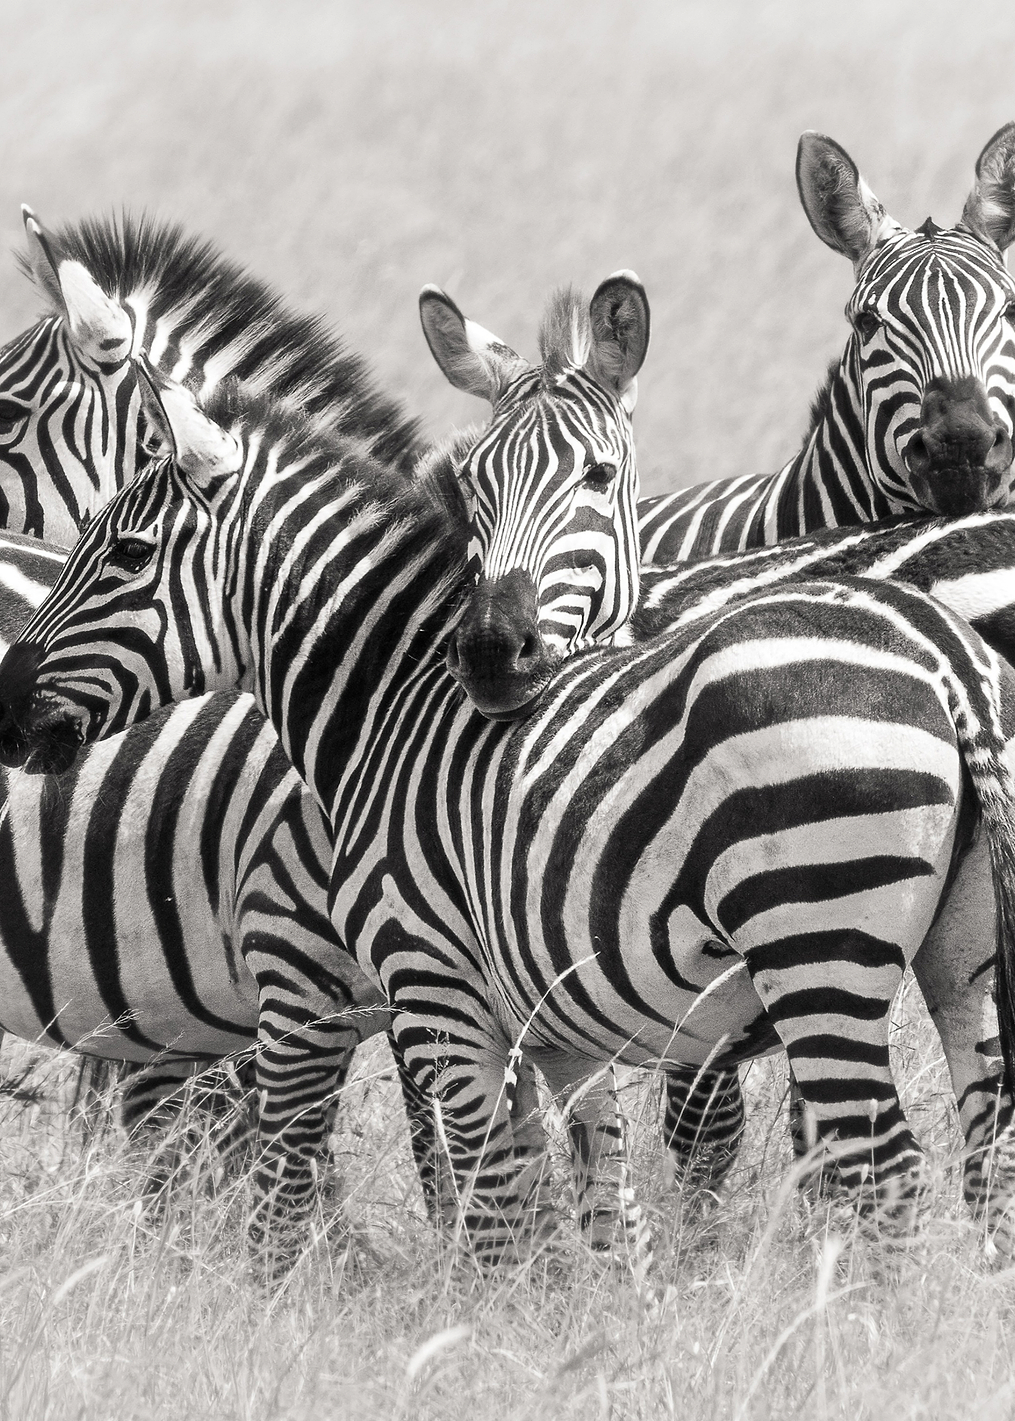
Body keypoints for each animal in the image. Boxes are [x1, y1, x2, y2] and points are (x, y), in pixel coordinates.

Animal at [7, 370, 1015, 1262]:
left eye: (128, 553)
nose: (5, 697)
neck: (389, 709)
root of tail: (943, 661)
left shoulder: (420, 989)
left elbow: (477, 1200)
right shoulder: (555, 1026)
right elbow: (588, 1199)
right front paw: (584, 1331)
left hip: (815, 947)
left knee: (883, 1168)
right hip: (960, 959)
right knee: (983, 1151)